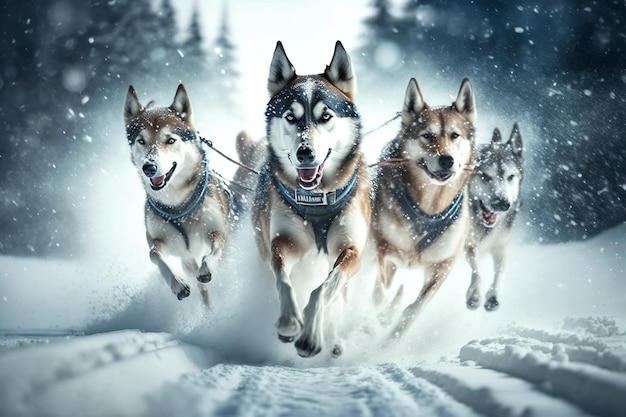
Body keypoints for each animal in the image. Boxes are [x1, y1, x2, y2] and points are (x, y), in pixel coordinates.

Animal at [122, 85, 232, 306]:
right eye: (141, 141)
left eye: (170, 140)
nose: (149, 167)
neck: (178, 206)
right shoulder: (160, 241)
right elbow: (155, 255)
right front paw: (177, 284)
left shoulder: (218, 232)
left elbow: (215, 248)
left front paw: (207, 267)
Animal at [252, 40, 370, 356]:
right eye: (290, 117)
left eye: (325, 116)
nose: (305, 152)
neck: (318, 201)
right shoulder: (285, 242)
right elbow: (284, 280)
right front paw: (289, 321)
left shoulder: (351, 249)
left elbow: (325, 288)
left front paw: (312, 335)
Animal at [370, 77, 472, 338]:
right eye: (427, 135)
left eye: (455, 135)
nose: (447, 160)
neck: (428, 209)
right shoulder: (385, 251)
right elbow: (381, 294)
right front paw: (381, 314)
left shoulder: (441, 268)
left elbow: (412, 311)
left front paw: (389, 334)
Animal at [464, 124, 520, 312]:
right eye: (485, 176)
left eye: (511, 177)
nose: (502, 204)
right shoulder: (469, 244)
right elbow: (477, 270)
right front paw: (474, 295)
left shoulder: (501, 247)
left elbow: (501, 272)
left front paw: (493, 296)